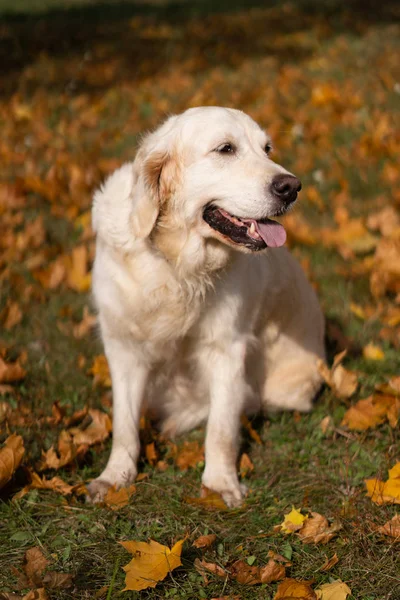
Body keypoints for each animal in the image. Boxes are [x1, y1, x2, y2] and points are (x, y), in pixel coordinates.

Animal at [87, 106, 324, 506]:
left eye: (267, 149)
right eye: (225, 149)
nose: (291, 187)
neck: (176, 266)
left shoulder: (227, 348)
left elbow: (221, 427)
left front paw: (219, 484)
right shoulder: (123, 347)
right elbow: (123, 424)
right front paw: (115, 476)